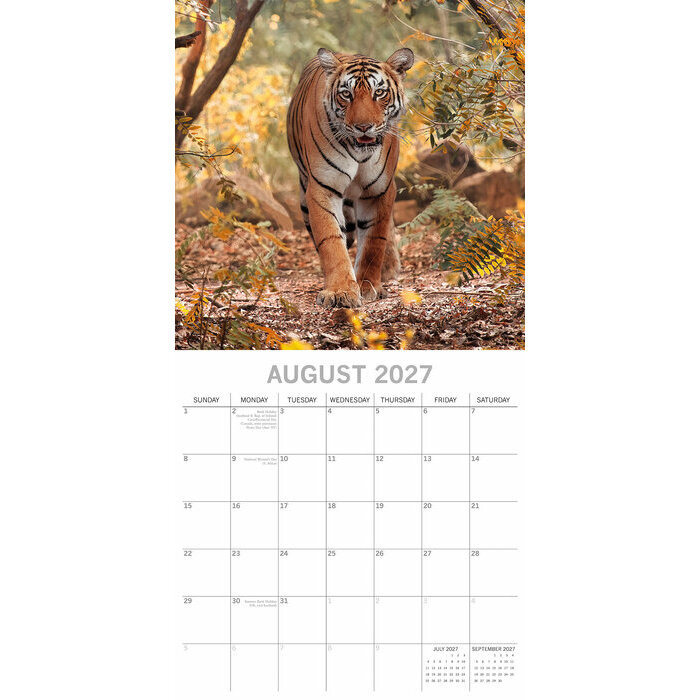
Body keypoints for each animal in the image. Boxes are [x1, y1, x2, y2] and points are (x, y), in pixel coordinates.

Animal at [286, 47, 415, 308]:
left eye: (379, 92)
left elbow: (374, 241)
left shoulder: (380, 190)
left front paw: (367, 285)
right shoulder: (322, 188)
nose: (363, 127)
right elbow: (332, 241)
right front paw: (340, 291)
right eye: (346, 94)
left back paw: (388, 270)